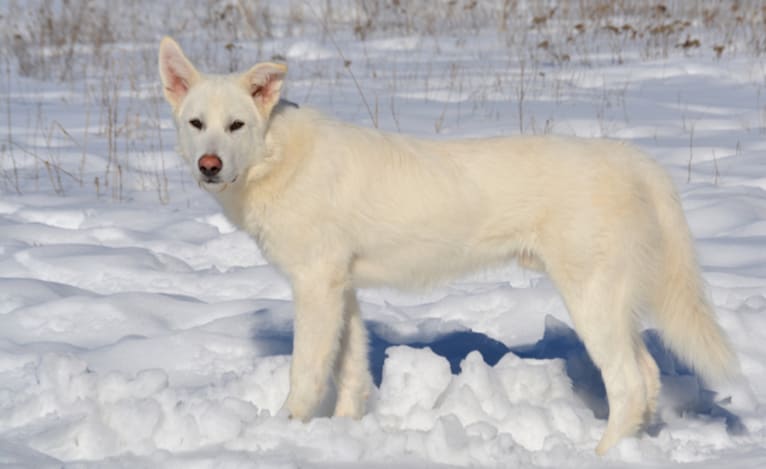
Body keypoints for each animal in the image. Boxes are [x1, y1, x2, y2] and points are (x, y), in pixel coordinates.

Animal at [160, 36, 736, 454]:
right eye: (197, 124)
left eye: (236, 125)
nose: (209, 165)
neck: (277, 156)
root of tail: (630, 158)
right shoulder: (341, 286)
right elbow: (350, 371)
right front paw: (344, 432)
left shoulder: (315, 286)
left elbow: (307, 372)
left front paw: (286, 431)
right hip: (612, 302)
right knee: (649, 378)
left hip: (592, 298)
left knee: (630, 385)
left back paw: (599, 455)